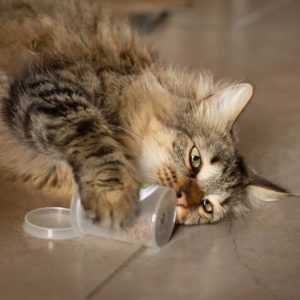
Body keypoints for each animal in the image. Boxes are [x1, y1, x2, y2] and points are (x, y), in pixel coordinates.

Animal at [0, 0, 288, 225]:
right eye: (195, 159)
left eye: (207, 205)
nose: (181, 197)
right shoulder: (48, 88)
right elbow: (94, 138)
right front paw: (114, 197)